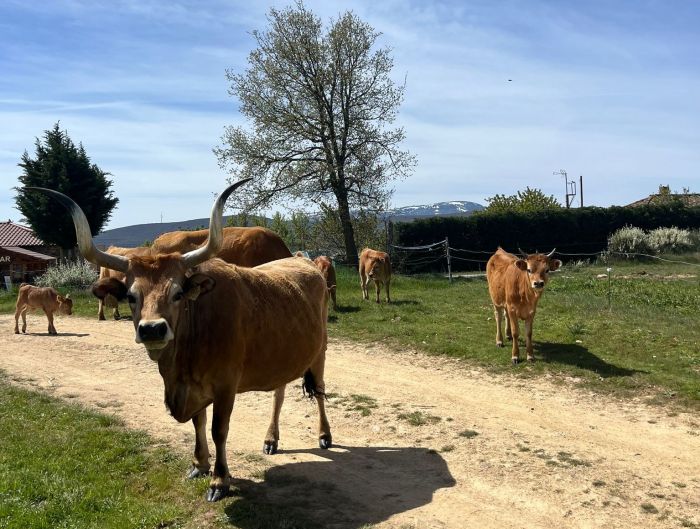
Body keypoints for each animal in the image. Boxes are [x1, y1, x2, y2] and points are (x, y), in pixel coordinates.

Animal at [26, 179, 332, 502]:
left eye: (177, 293)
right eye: (131, 296)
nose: (152, 329)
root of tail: (301, 260)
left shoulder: (226, 385)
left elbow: (218, 429)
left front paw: (219, 480)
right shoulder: (193, 387)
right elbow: (199, 422)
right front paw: (199, 464)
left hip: (321, 352)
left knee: (320, 390)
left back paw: (324, 435)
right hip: (285, 354)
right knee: (279, 394)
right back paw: (271, 439)